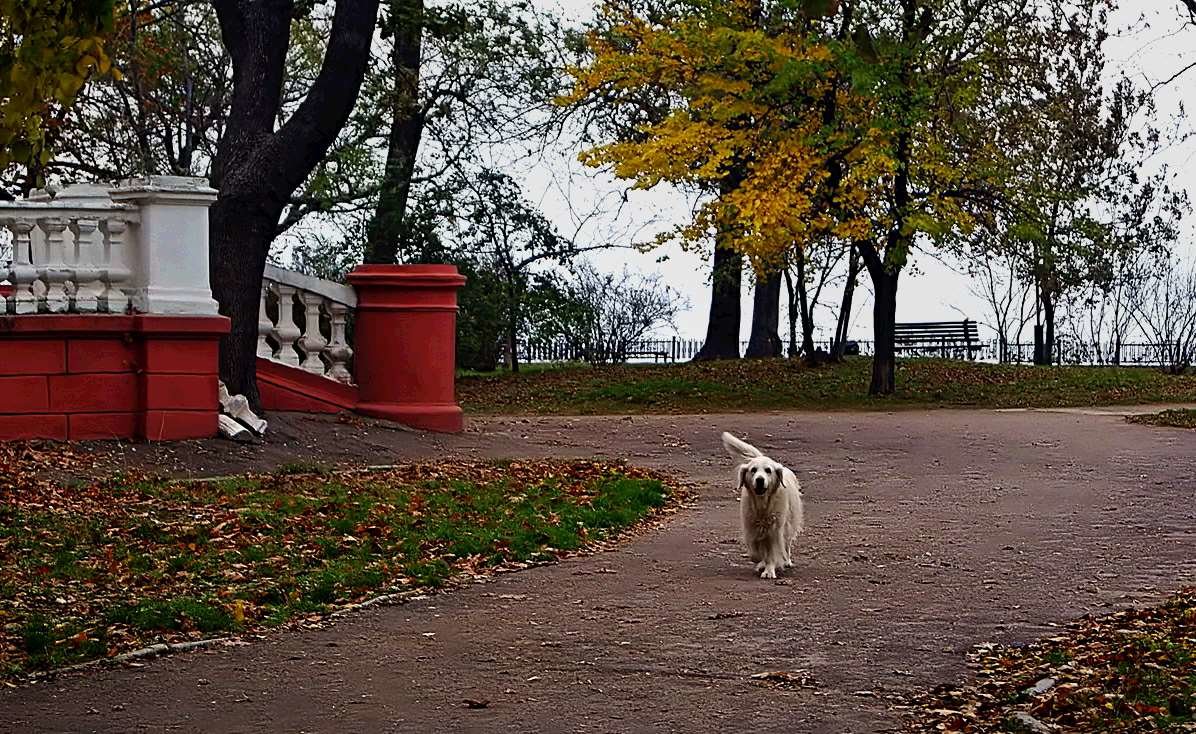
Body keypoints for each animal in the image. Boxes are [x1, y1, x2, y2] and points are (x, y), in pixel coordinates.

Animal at [717, 430, 803, 580]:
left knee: (786, 543)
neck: (762, 504)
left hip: (789, 522)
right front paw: (761, 562)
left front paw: (769, 570)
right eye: (753, 470)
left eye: (768, 470)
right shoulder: (751, 528)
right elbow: (755, 551)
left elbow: (772, 552)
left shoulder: (775, 530)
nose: (760, 480)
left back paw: (786, 560)